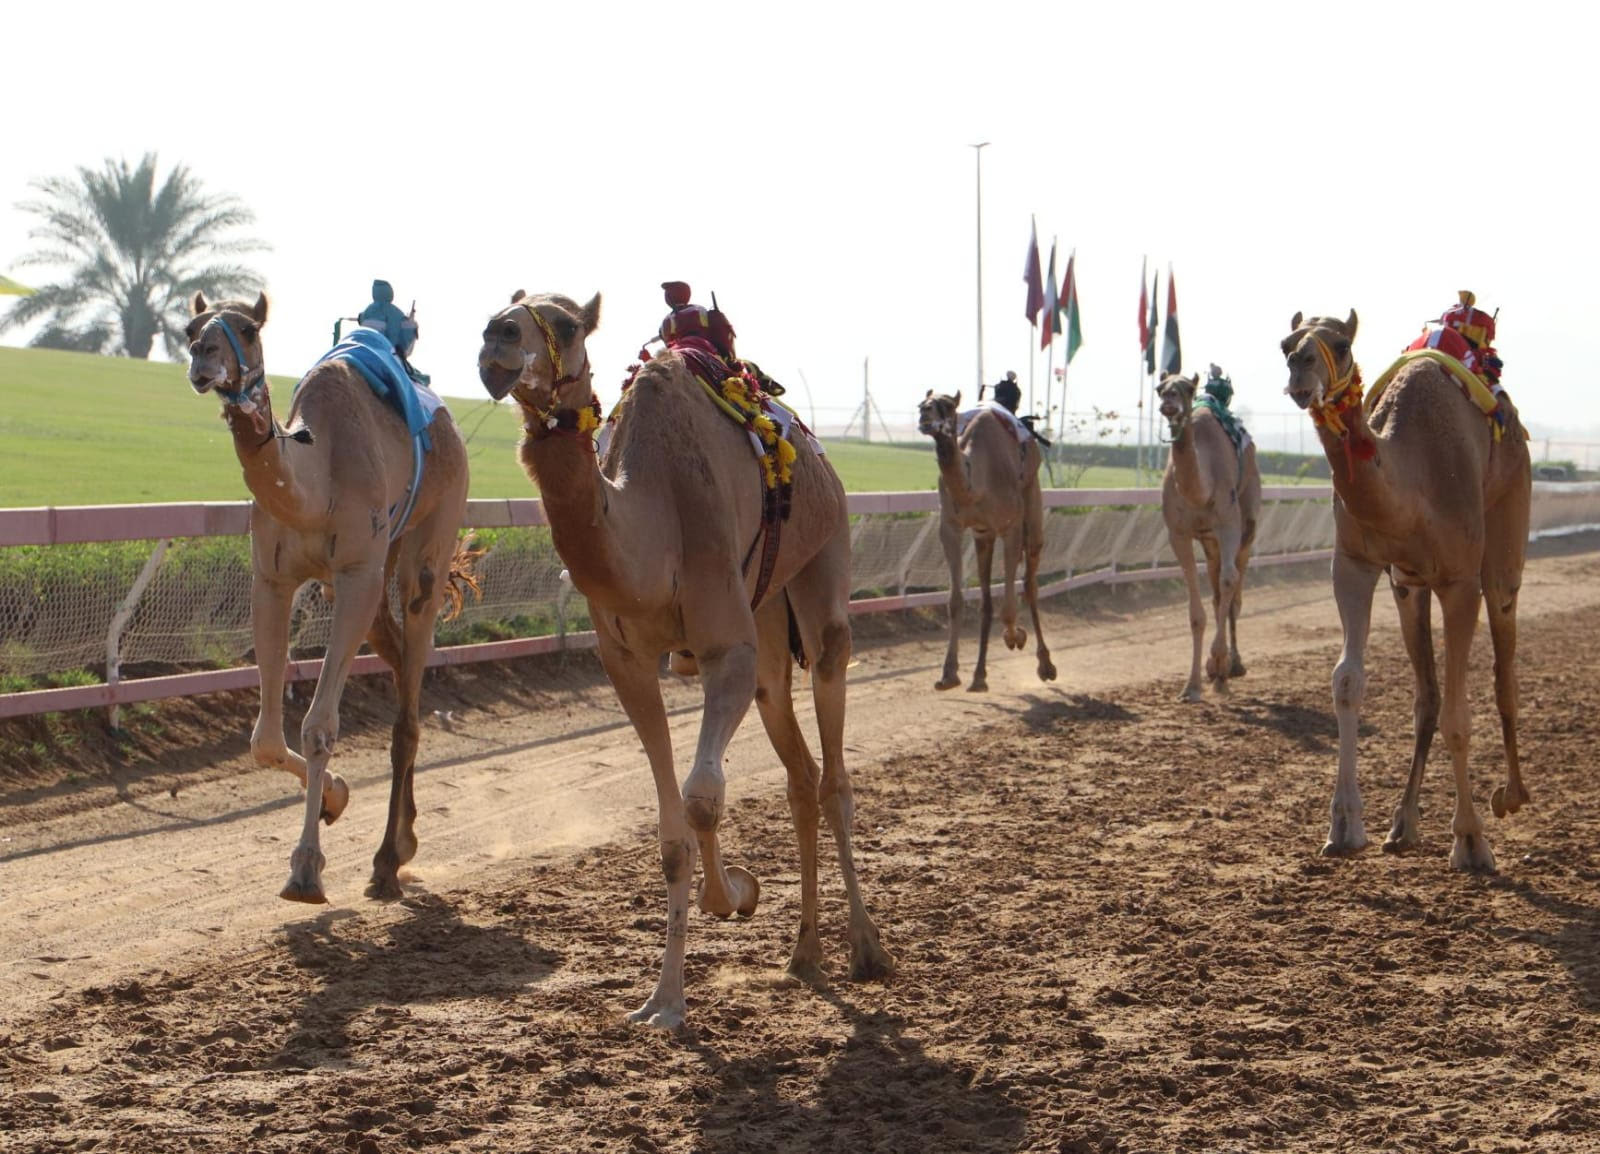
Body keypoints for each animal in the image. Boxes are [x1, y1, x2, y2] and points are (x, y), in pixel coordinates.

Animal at [186, 288, 470, 902]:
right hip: (376, 575)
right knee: (399, 668)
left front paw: (306, 870)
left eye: (247, 328)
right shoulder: (271, 581)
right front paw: (335, 799)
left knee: (409, 691)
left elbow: (319, 727)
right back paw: (401, 844)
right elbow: (265, 739)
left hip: (430, 535)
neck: (314, 483)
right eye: (190, 328)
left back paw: (387, 861)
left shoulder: (357, 571)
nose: (203, 358)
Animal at [915, 392, 1049, 688]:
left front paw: (1015, 637)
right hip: (983, 535)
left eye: (947, 406)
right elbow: (955, 601)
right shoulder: (951, 528)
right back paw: (978, 676)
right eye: (922, 404)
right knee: (987, 600)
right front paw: (948, 674)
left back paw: (1045, 664)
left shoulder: (1010, 526)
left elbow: (1009, 606)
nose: (925, 415)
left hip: (1031, 499)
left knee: (1030, 582)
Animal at [1164, 376, 1260, 701]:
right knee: (1219, 595)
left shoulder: (1228, 524)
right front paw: (1192, 686)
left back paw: (1232, 667)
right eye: (1160, 387)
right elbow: (1197, 611)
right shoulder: (1178, 533)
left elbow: (1230, 583)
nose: (1168, 401)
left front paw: (1219, 663)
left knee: (1234, 592)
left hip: (1247, 527)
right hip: (1210, 544)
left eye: (1186, 388)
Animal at [1280, 310, 1529, 870]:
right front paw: (1344, 827)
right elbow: (1347, 682)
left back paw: (1512, 796)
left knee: (1503, 668)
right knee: (1427, 697)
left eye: (1341, 344)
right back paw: (1403, 824)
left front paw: (1471, 842)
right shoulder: (1354, 564)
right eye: (1285, 342)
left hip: (1507, 522)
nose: (1299, 369)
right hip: (1409, 588)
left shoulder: (1460, 582)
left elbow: (1461, 713)